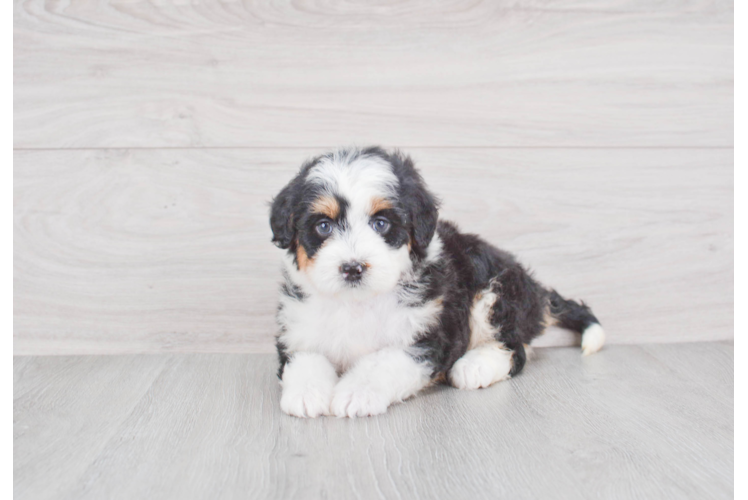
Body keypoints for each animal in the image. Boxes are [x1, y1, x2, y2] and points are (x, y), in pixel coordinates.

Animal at [268, 147, 600, 418]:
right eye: (323, 226)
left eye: (381, 224)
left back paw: (474, 366)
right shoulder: (299, 329)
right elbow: (305, 358)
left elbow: (384, 362)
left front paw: (356, 393)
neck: (358, 302)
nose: (353, 268)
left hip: (495, 291)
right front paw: (306, 394)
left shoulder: (427, 335)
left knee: (516, 349)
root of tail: (536, 292)